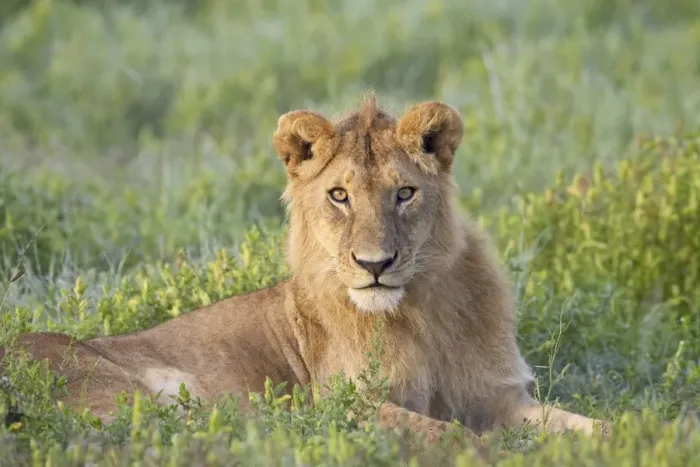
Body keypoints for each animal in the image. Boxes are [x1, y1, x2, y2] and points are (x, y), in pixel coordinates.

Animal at [1, 92, 608, 452]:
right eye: (339, 196)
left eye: (404, 193)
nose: (374, 265)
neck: (418, 311)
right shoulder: (347, 403)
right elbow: (447, 434)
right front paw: (500, 453)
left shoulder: (498, 397)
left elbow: (582, 424)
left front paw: (621, 436)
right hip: (125, 395)